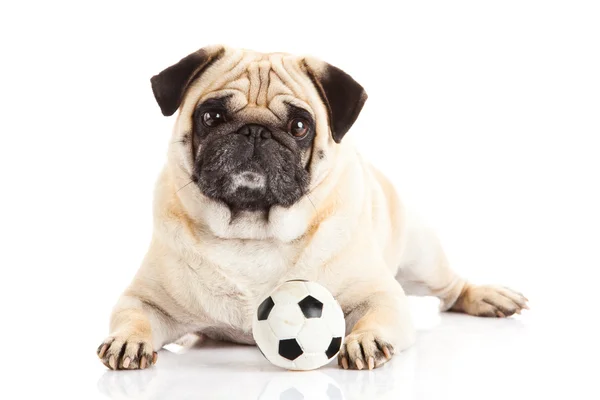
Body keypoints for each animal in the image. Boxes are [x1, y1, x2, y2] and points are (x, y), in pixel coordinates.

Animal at [96, 46, 528, 372]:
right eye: (211, 116)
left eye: (300, 126)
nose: (255, 131)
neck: (252, 232)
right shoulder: (146, 300)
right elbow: (133, 317)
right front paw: (127, 342)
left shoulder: (381, 295)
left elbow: (375, 316)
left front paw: (366, 341)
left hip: (422, 258)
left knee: (452, 288)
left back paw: (488, 297)